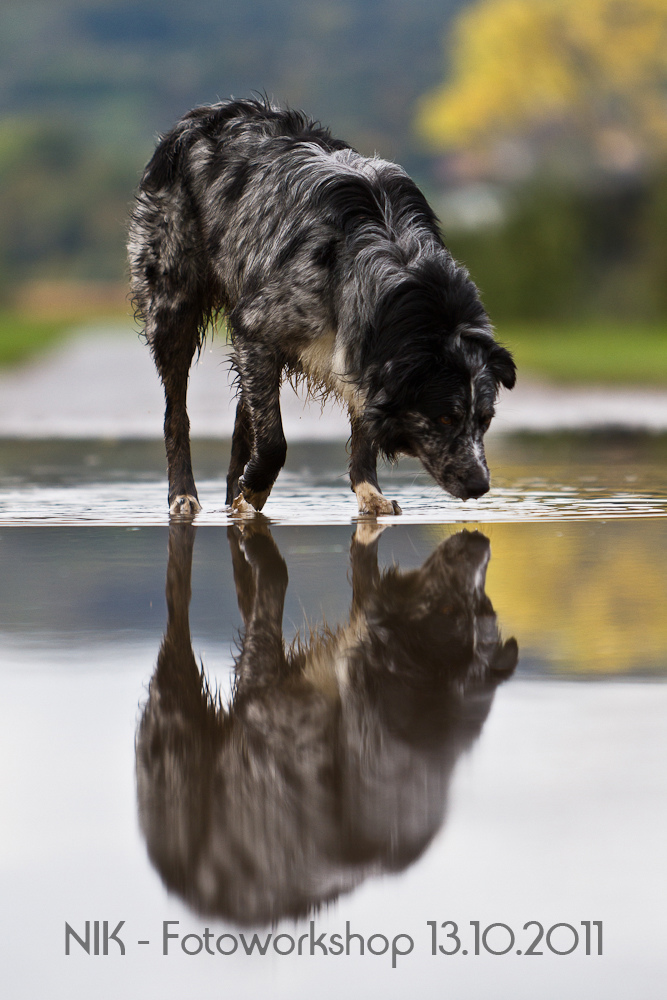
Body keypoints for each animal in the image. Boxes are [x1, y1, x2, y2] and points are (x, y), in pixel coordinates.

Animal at [129, 96, 516, 516]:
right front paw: (256, 489)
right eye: (446, 418)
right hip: (172, 308)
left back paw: (235, 496)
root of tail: (209, 113)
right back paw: (185, 494)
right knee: (176, 414)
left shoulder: (360, 345)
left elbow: (359, 431)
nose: (480, 485)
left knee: (243, 415)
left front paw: (368, 491)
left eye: (485, 419)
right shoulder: (258, 329)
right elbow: (273, 440)